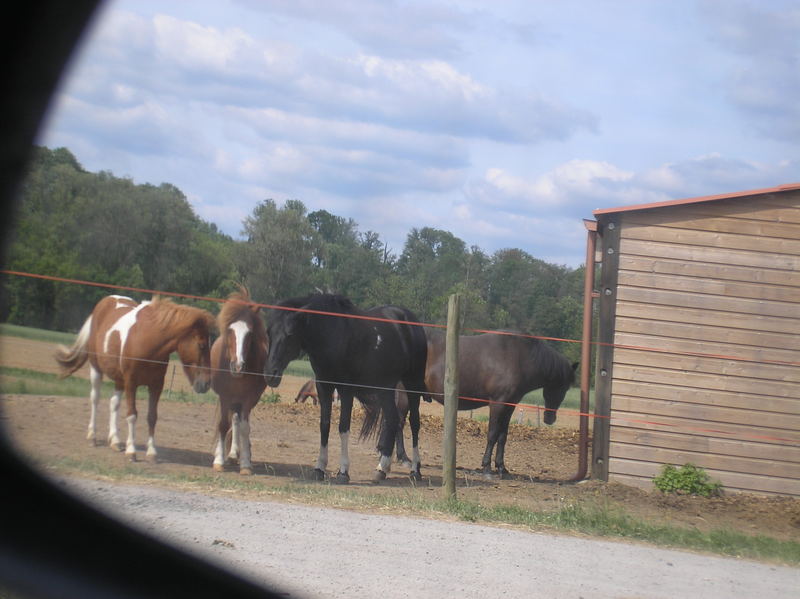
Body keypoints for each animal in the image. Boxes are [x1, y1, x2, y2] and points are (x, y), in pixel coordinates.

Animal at [54, 296, 214, 464]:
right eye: (202, 345)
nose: (206, 384)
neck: (147, 341)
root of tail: (104, 302)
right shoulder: (131, 383)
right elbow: (132, 415)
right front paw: (131, 451)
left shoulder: (156, 385)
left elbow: (152, 417)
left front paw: (152, 453)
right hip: (96, 369)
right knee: (95, 399)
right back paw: (93, 436)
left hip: (119, 379)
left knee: (114, 403)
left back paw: (115, 441)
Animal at [209, 284, 268, 474]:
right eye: (230, 331)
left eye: (249, 333)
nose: (238, 366)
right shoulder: (225, 396)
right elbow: (223, 425)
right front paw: (219, 461)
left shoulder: (248, 399)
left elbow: (244, 428)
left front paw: (246, 464)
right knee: (231, 420)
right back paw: (231, 454)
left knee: (238, 421)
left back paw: (238, 453)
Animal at [264, 292, 428, 486]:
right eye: (269, 332)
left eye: (289, 334)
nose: (270, 374)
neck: (334, 335)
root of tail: (410, 320)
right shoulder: (323, 387)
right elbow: (324, 425)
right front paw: (319, 468)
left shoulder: (346, 390)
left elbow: (343, 427)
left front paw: (343, 472)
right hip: (385, 388)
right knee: (392, 420)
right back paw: (382, 468)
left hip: (412, 384)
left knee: (414, 423)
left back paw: (415, 470)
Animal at [394, 328, 576, 478]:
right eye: (562, 386)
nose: (549, 419)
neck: (518, 357)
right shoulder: (497, 403)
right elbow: (492, 434)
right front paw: (487, 468)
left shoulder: (509, 405)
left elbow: (503, 436)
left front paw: (502, 468)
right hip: (405, 395)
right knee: (400, 423)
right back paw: (404, 459)